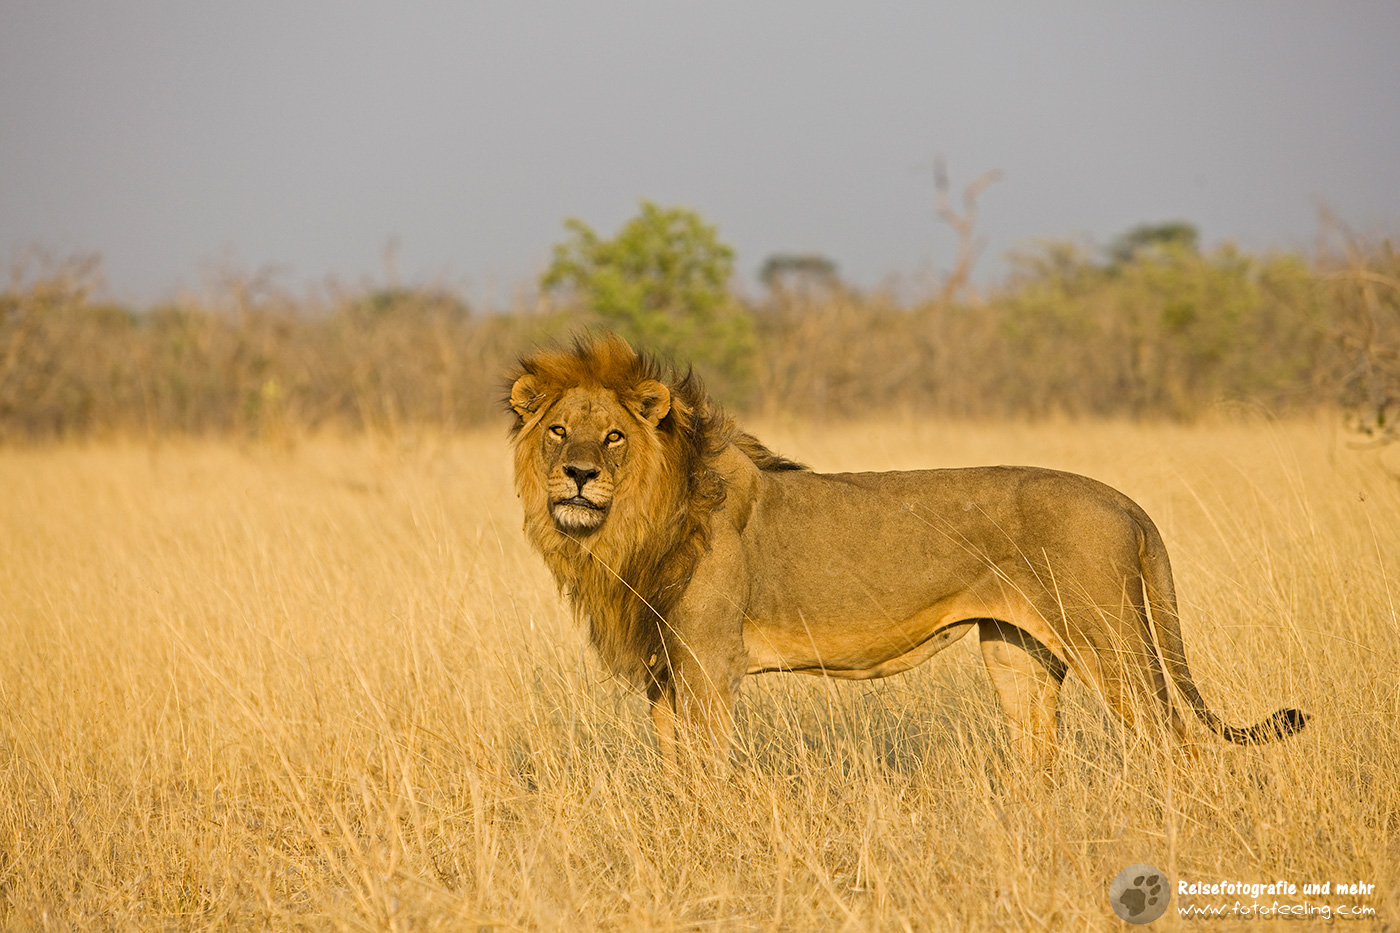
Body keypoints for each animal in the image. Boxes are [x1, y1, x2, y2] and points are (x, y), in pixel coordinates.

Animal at [506, 334, 1306, 772]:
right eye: (558, 431)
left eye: (612, 435)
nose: (578, 474)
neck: (630, 530)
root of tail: (1128, 503)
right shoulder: (663, 674)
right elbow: (675, 775)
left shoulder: (706, 667)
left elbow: (706, 774)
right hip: (1017, 652)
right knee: (1039, 757)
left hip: (1110, 641)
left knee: (1178, 747)